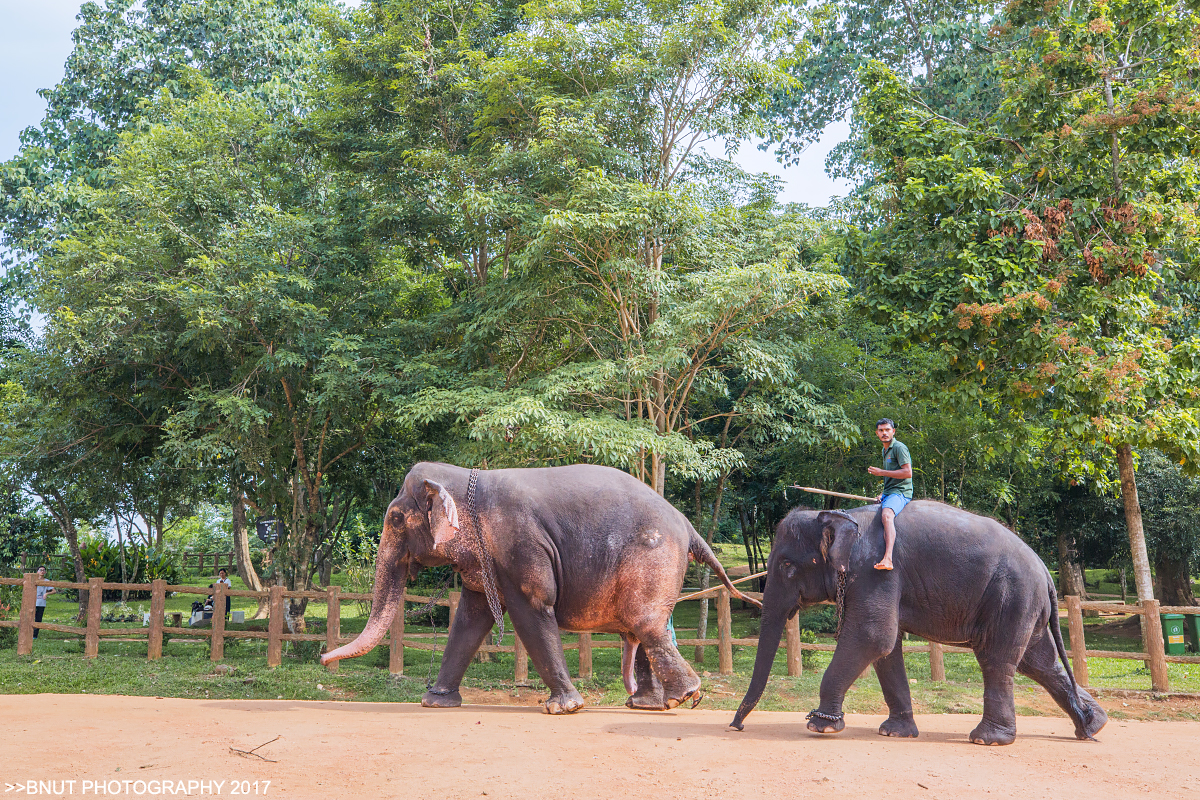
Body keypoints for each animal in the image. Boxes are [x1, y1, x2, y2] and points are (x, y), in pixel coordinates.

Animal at [319, 460, 748, 714]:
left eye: (394, 519)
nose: (323, 659)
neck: (467, 477)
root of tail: (687, 524)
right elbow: (471, 618)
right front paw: (435, 702)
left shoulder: (520, 543)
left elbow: (532, 609)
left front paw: (564, 708)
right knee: (643, 627)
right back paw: (648, 705)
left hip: (653, 556)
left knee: (645, 623)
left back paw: (684, 697)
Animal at [720, 503, 1104, 748]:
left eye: (786, 565)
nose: (736, 726)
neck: (840, 514)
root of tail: (1046, 573)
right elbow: (886, 648)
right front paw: (894, 733)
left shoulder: (875, 571)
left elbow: (873, 636)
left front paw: (821, 726)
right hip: (1025, 605)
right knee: (1039, 662)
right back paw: (1093, 725)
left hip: (1012, 596)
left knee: (997, 660)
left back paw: (987, 739)